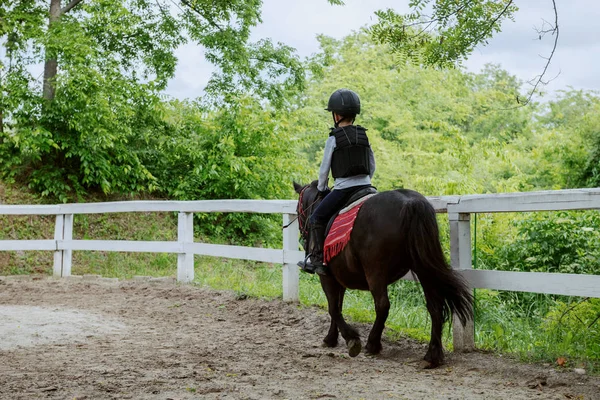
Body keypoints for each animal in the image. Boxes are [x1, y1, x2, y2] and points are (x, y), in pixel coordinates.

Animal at [296, 181, 474, 368]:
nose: (303, 234)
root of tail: (410, 203)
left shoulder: (327, 277)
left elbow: (333, 308)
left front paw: (350, 339)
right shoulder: (340, 277)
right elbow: (338, 305)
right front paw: (332, 338)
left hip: (376, 271)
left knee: (382, 305)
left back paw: (372, 344)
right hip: (423, 267)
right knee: (435, 306)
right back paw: (433, 354)